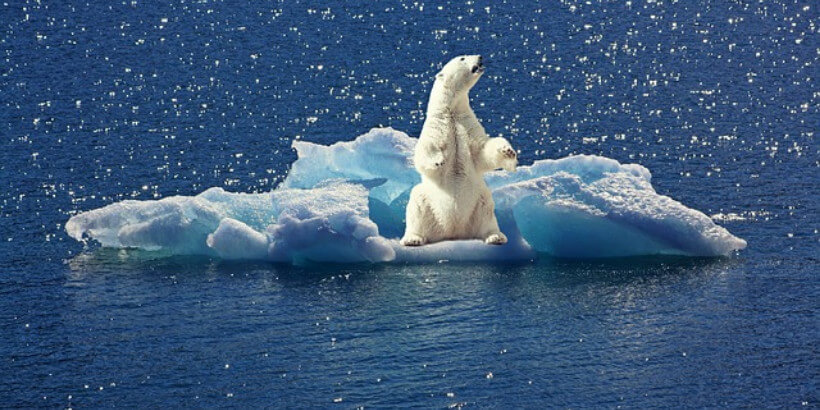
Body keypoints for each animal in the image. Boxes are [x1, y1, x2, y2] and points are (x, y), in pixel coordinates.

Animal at [400, 54, 518, 247]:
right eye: (462, 58)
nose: (480, 56)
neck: (451, 111)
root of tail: (453, 231)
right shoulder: (437, 126)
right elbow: (425, 150)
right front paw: (438, 160)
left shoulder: (467, 124)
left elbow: (482, 151)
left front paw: (508, 151)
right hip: (428, 202)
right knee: (417, 203)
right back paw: (413, 238)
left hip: (478, 201)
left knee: (487, 210)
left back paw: (495, 236)